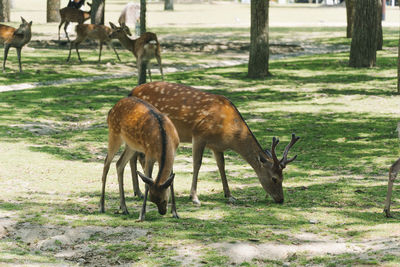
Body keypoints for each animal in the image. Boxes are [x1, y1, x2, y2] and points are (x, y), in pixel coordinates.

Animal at [131, 82, 300, 206]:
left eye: (283, 177)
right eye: (274, 178)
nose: (281, 199)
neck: (229, 133)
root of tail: (132, 92)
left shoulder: (217, 146)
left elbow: (221, 166)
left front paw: (229, 195)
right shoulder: (199, 134)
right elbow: (197, 164)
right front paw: (194, 197)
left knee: (134, 157)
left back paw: (138, 192)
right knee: (136, 157)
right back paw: (141, 191)